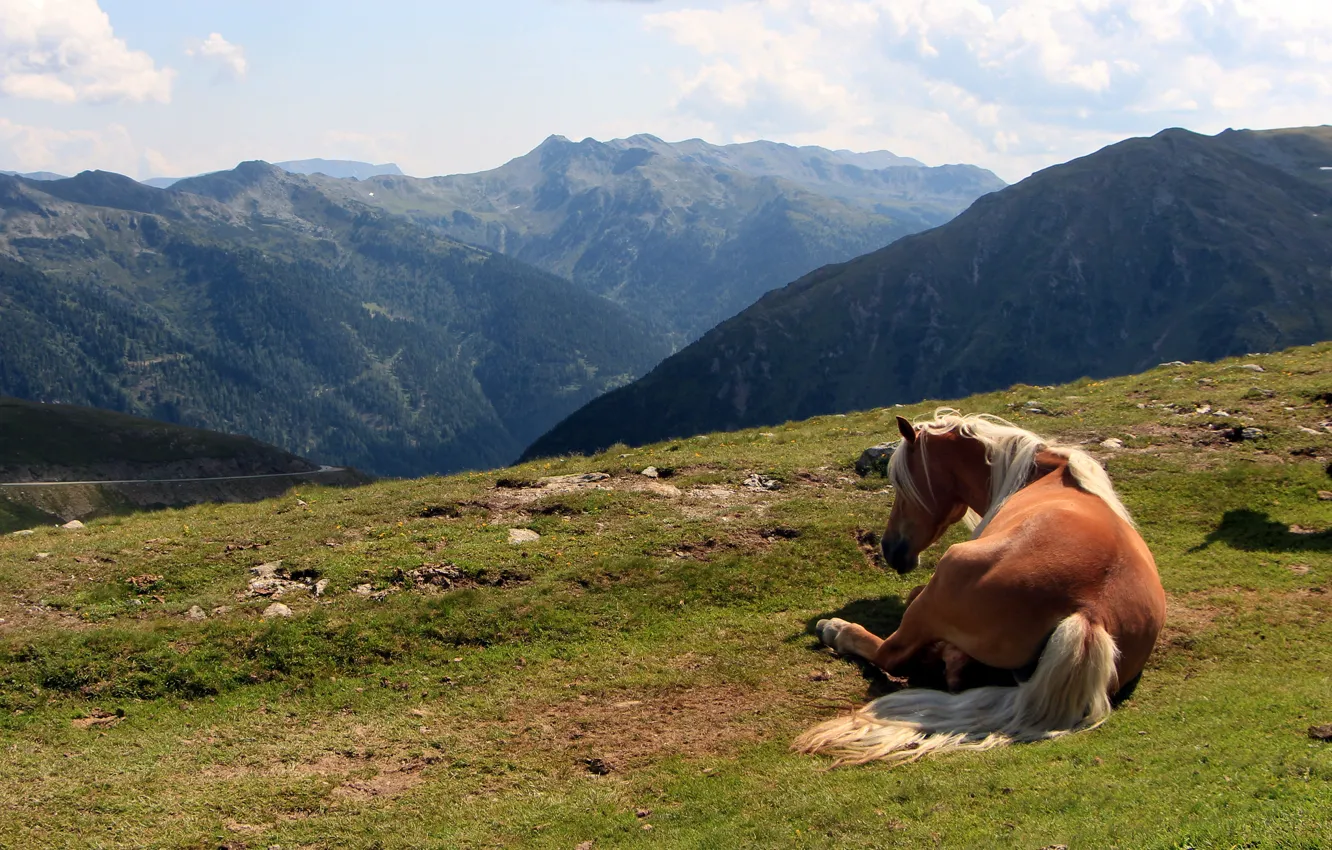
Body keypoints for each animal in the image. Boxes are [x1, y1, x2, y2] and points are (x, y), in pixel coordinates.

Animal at [788, 413, 1166, 772]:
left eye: (901, 484)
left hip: (947, 572)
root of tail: (1090, 612)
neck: (1036, 474)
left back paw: (837, 630)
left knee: (891, 654)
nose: (890, 549)